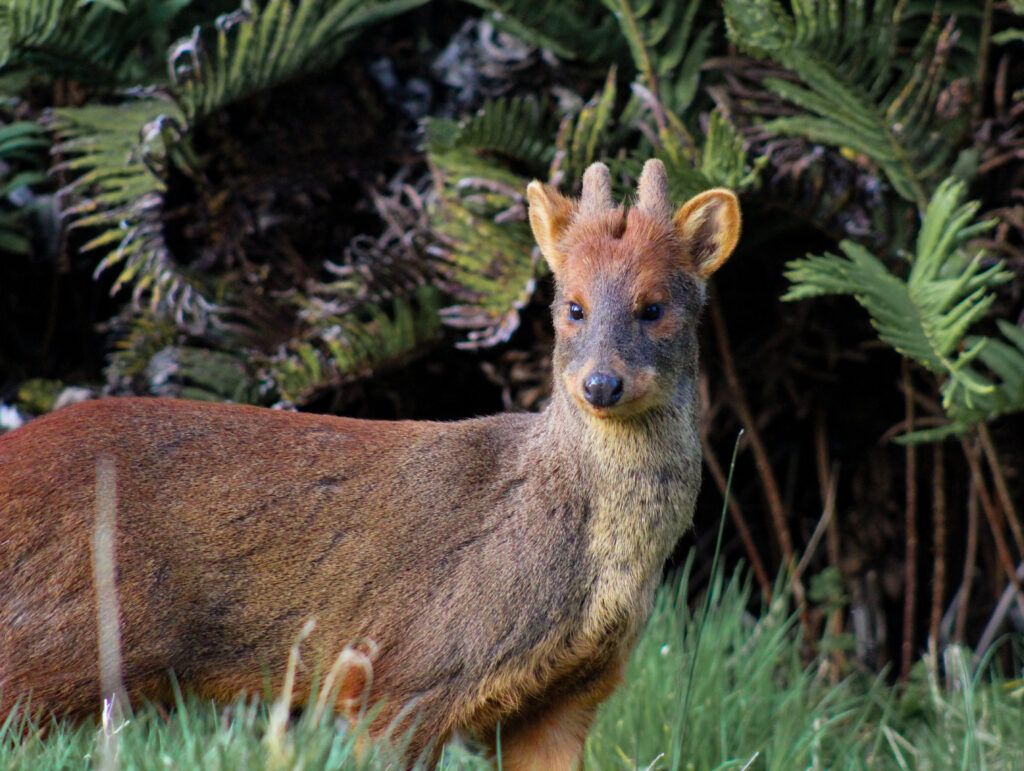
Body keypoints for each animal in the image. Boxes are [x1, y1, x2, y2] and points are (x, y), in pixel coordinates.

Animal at [0, 159, 737, 765]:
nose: (601, 384)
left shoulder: (566, 699)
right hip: (54, 644)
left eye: (654, 307)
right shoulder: (404, 672)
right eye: (572, 308)